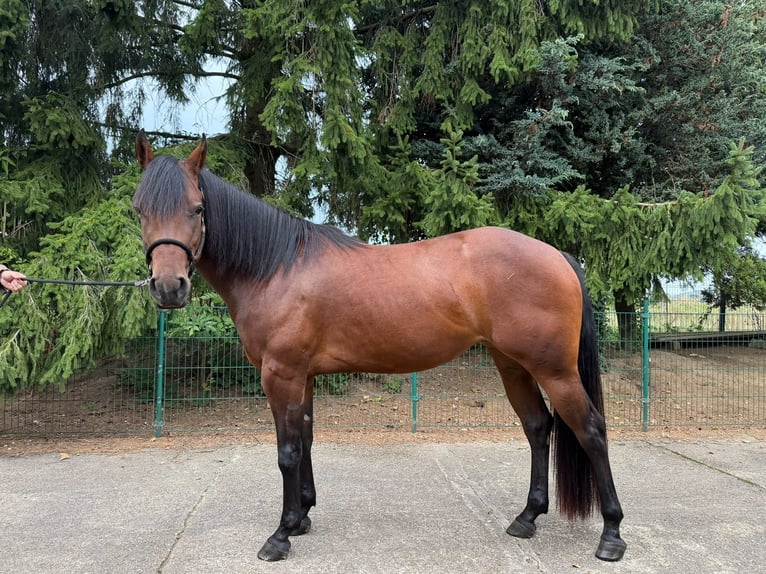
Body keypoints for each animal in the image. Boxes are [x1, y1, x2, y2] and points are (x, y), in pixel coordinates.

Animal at [132, 131, 626, 563]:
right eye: (139, 209)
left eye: (197, 208)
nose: (169, 288)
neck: (276, 268)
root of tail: (555, 254)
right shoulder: (302, 377)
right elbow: (306, 439)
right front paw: (302, 517)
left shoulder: (281, 374)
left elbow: (287, 452)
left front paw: (280, 535)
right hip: (513, 366)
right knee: (538, 427)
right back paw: (527, 518)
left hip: (555, 371)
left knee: (591, 431)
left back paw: (611, 535)